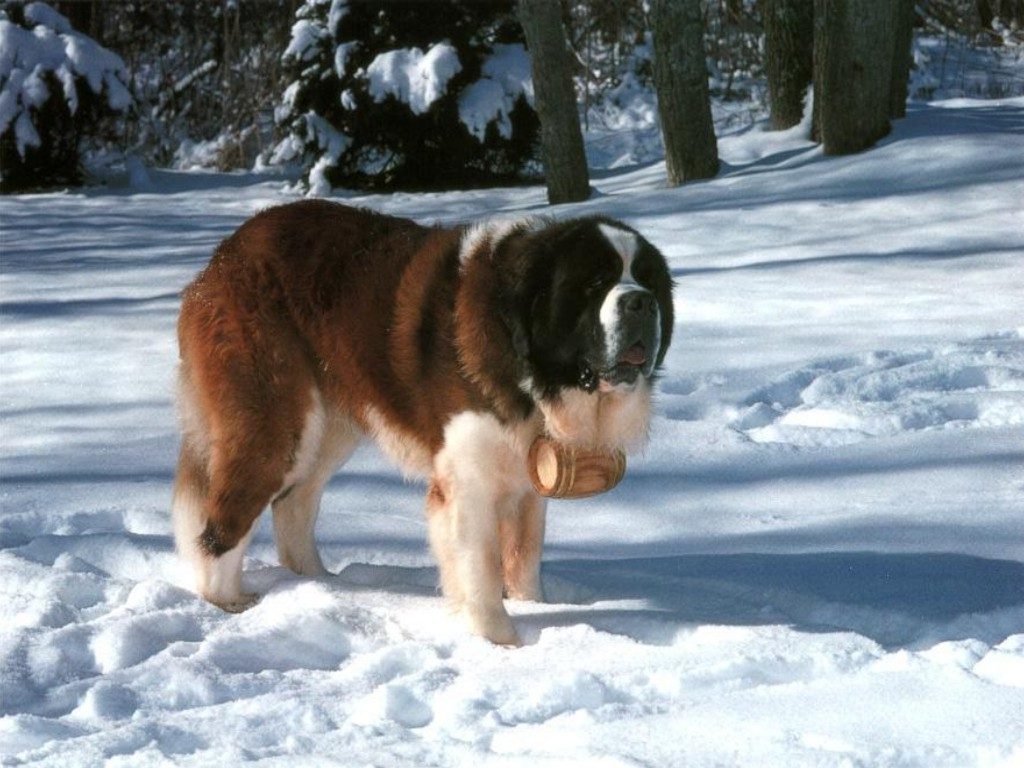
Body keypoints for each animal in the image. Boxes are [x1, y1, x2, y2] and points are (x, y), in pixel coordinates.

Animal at [171, 201, 671, 647]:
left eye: (647, 280)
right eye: (595, 283)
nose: (641, 303)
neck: (528, 362)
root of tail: (223, 256)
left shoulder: (527, 481)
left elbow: (524, 556)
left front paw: (537, 610)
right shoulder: (468, 482)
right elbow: (481, 567)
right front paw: (503, 644)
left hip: (330, 428)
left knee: (293, 504)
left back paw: (327, 588)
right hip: (278, 423)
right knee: (223, 524)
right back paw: (229, 602)